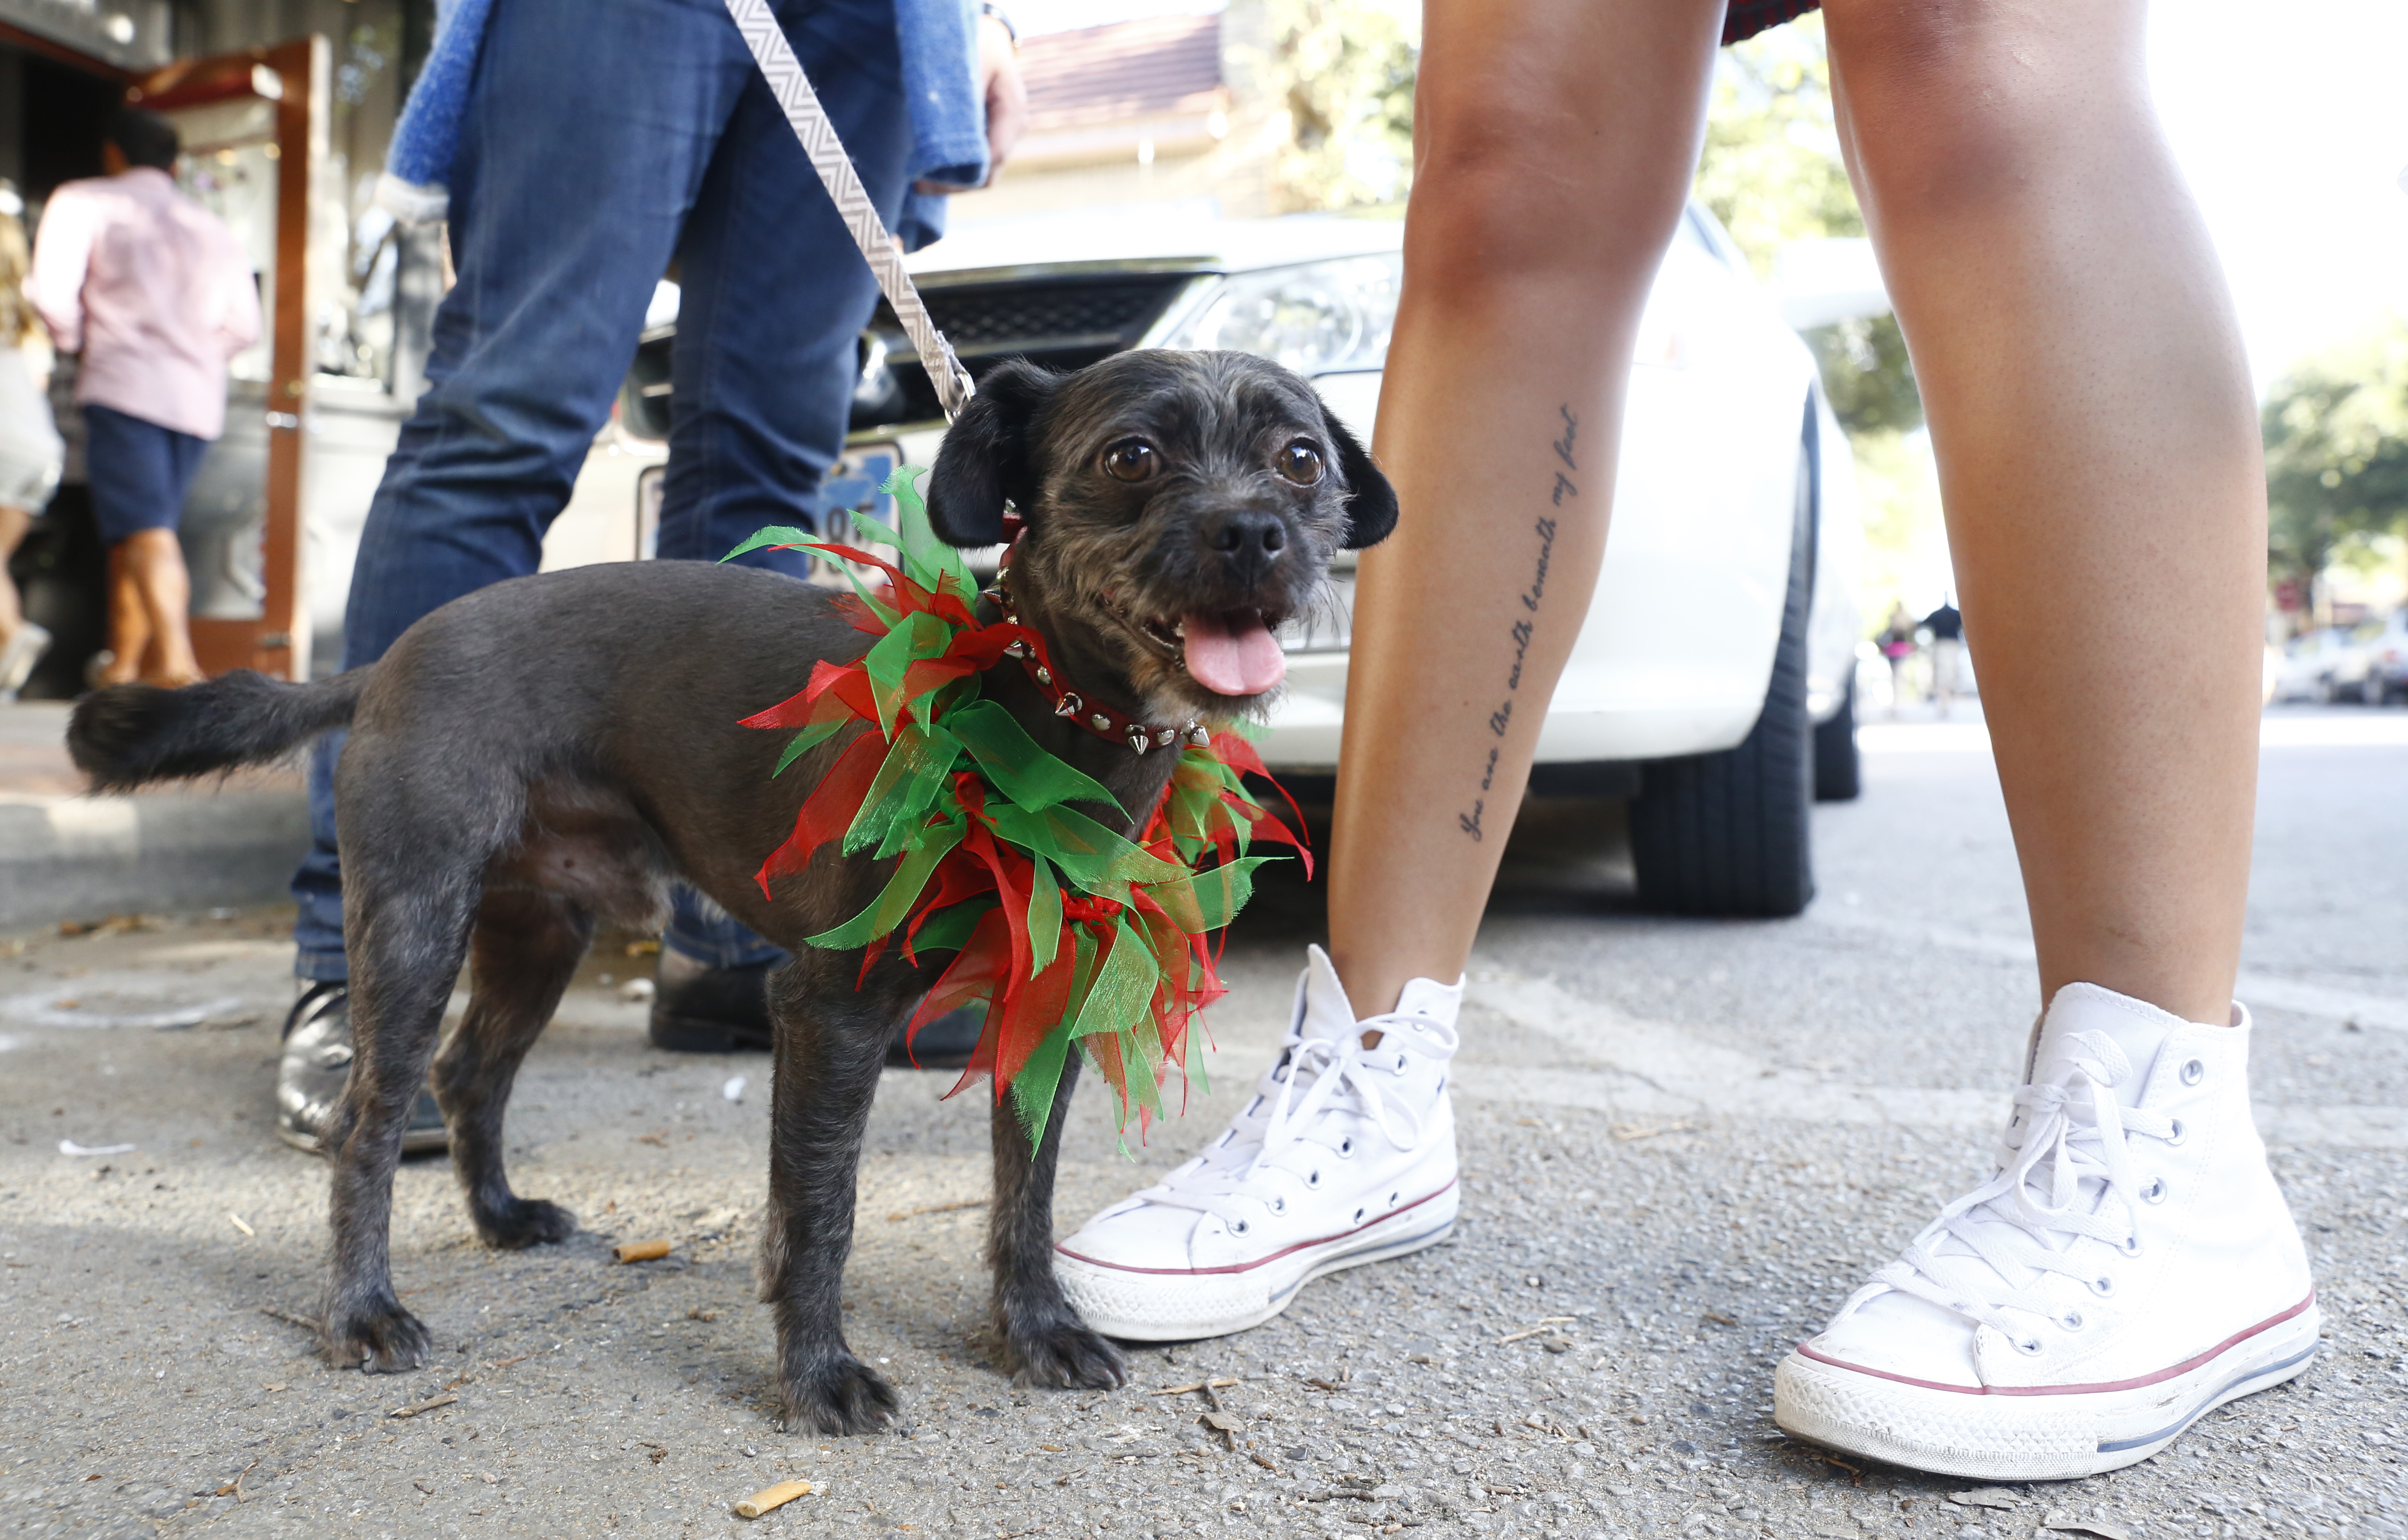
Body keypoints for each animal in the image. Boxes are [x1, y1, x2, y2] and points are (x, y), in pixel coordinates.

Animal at [65, 349, 1396, 1434]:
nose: (1256, 535)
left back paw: (500, 1217)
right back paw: (361, 1313)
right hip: (414, 924)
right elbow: (822, 1208)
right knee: (372, 1120)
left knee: (471, 1074)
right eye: (1132, 456)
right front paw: (818, 1375)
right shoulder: (831, 1014)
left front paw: (1036, 1330)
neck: (1034, 710)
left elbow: (1026, 1191)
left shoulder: (1045, 1015)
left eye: (1299, 458)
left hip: (539, 933)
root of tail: (384, 659)